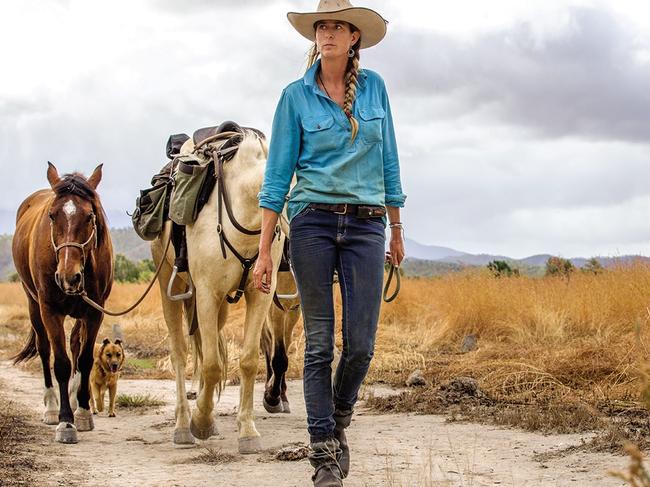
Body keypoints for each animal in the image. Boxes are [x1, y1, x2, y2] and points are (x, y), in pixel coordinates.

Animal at [11, 162, 112, 444]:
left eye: (89, 216)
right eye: (52, 216)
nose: (69, 276)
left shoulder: (94, 312)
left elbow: (85, 359)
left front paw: (83, 412)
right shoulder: (51, 311)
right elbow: (61, 364)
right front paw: (65, 422)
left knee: (76, 343)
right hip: (34, 305)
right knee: (44, 349)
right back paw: (51, 408)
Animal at [153, 131, 284, 454]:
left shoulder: (260, 295)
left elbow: (247, 360)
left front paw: (247, 431)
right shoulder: (206, 293)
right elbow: (212, 365)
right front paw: (199, 422)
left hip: (221, 306)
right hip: (169, 286)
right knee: (180, 353)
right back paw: (183, 424)